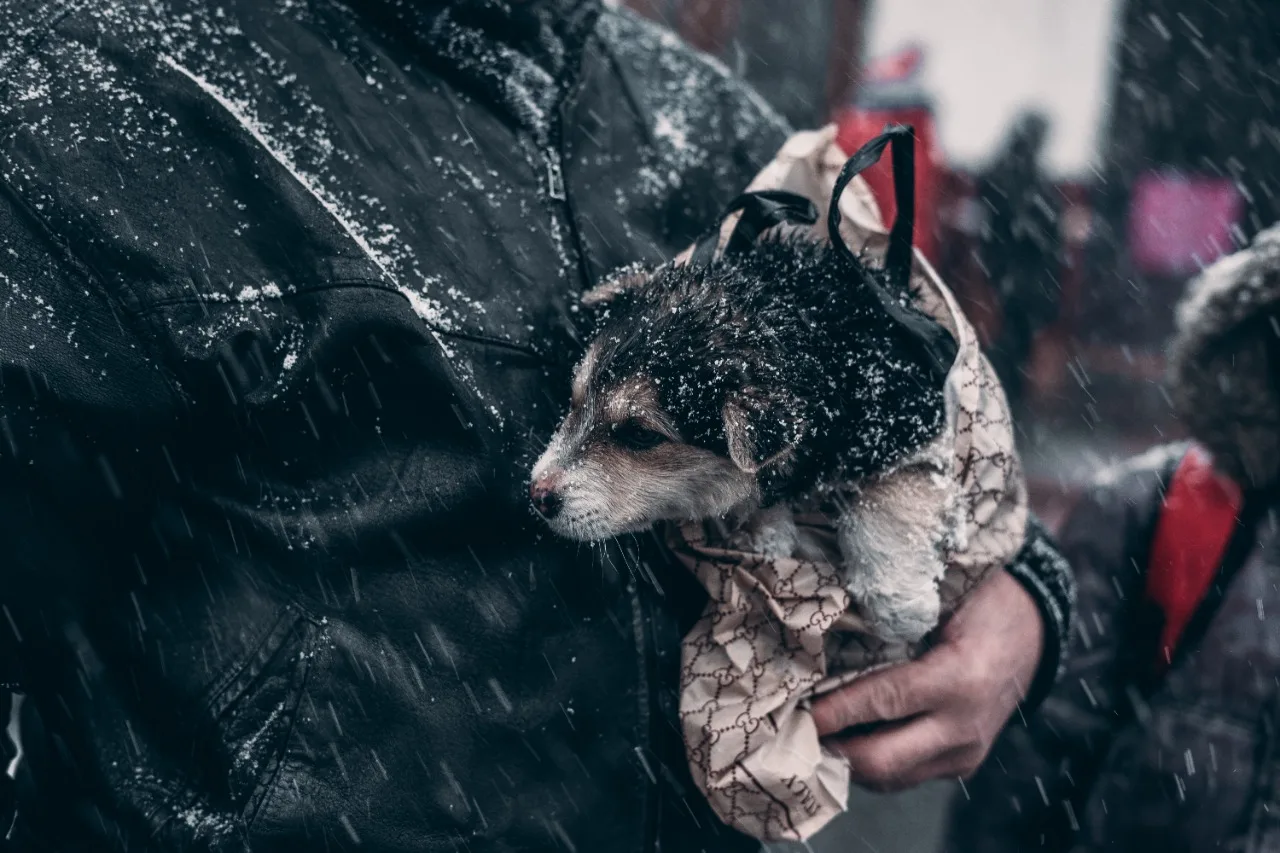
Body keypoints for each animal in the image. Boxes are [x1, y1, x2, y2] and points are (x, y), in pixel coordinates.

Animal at [529, 126, 962, 640]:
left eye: (640, 435)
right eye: (574, 402)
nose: (537, 495)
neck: (809, 335)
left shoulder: (916, 419)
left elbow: (887, 494)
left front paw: (898, 605)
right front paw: (764, 533)